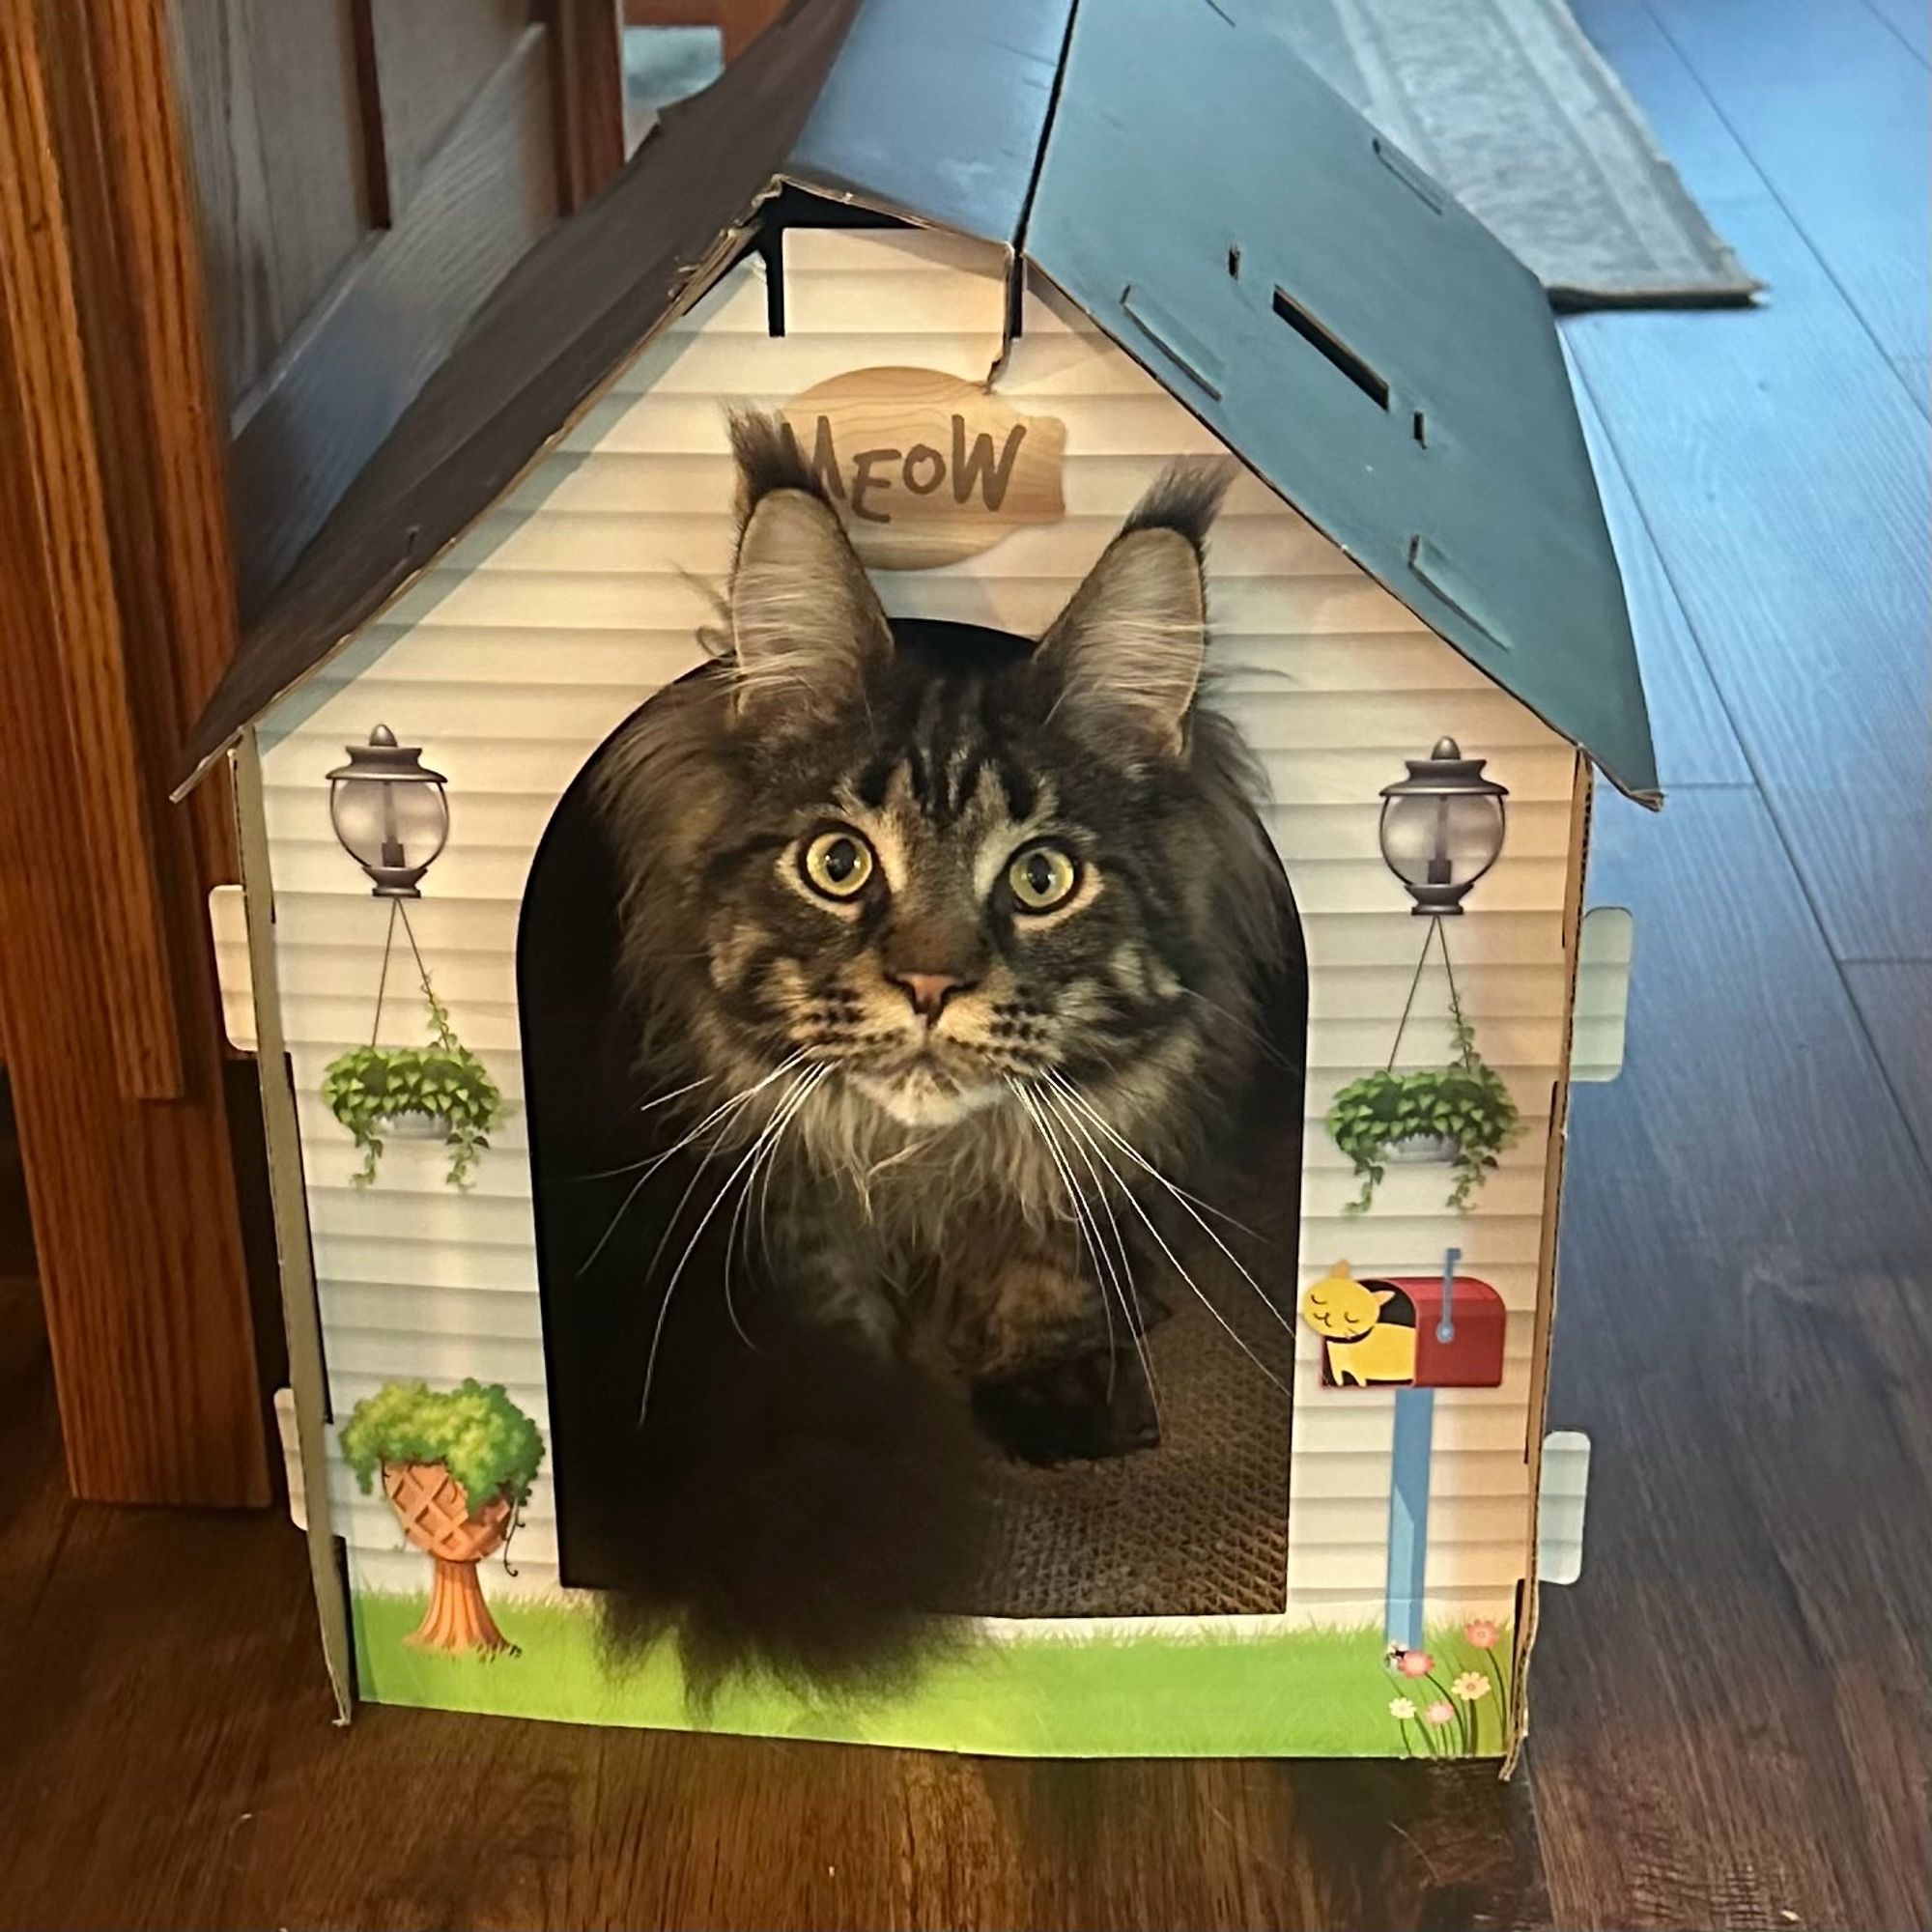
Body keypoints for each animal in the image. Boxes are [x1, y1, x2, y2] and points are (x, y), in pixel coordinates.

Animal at [553, 412, 1306, 1692]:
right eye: (838, 862)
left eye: (1042, 876)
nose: (928, 982)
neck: (926, 1171)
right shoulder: (782, 1163)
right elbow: (823, 1278)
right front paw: (864, 1385)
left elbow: (1050, 1241)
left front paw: (1057, 1374)